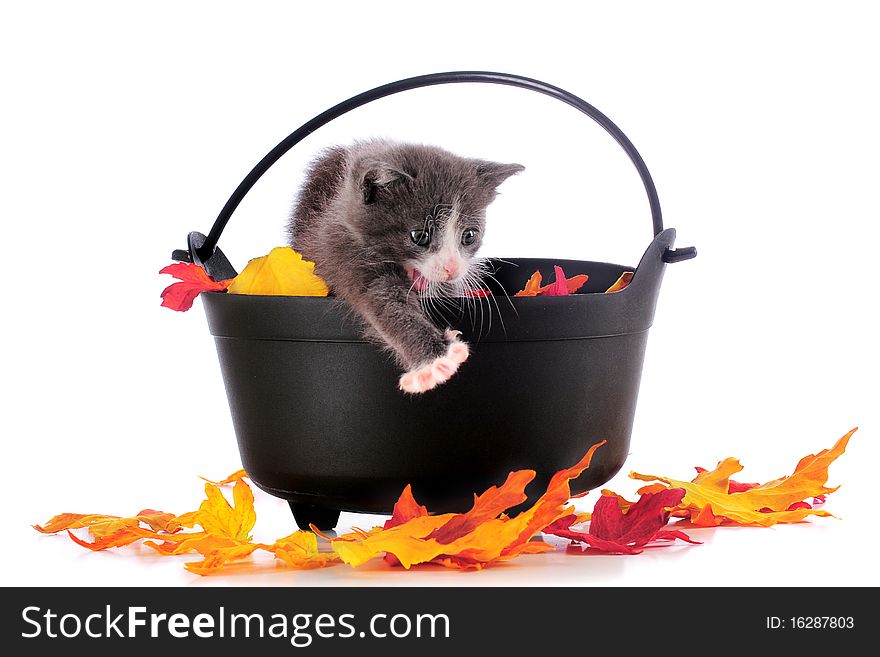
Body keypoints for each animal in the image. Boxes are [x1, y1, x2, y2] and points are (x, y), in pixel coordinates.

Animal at [288, 138, 524, 392]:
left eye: (469, 236)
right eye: (420, 236)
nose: (451, 268)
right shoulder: (339, 248)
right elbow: (382, 298)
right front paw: (435, 359)